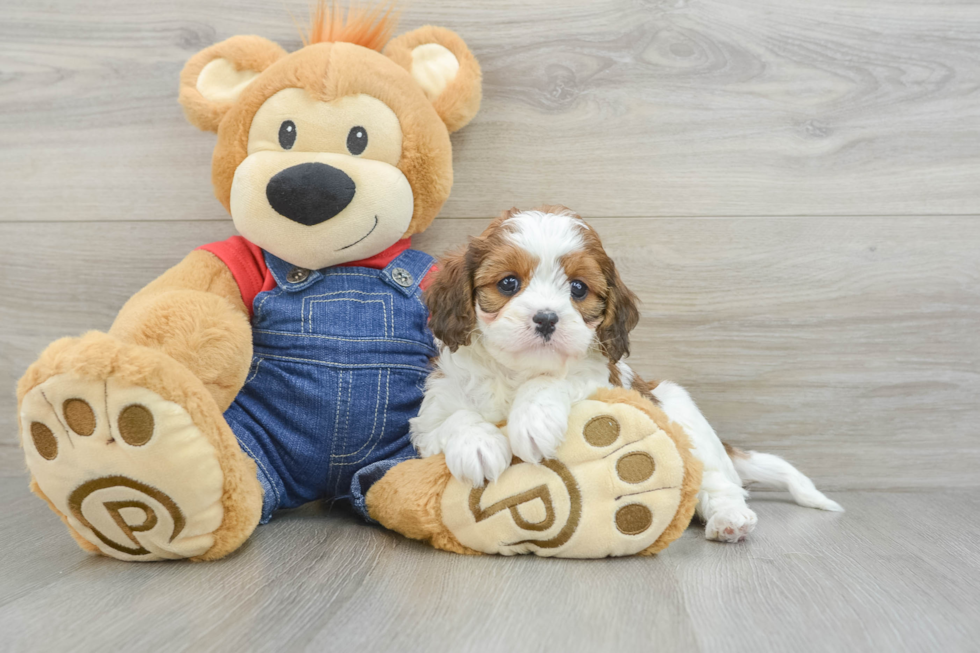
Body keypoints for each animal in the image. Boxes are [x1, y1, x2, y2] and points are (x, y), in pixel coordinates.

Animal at [412, 208, 844, 540]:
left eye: (578, 289)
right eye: (508, 283)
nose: (547, 318)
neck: (517, 373)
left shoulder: (606, 381)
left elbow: (558, 379)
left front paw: (532, 419)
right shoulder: (428, 422)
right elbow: (453, 419)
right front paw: (478, 445)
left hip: (683, 417)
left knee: (719, 484)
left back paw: (729, 520)